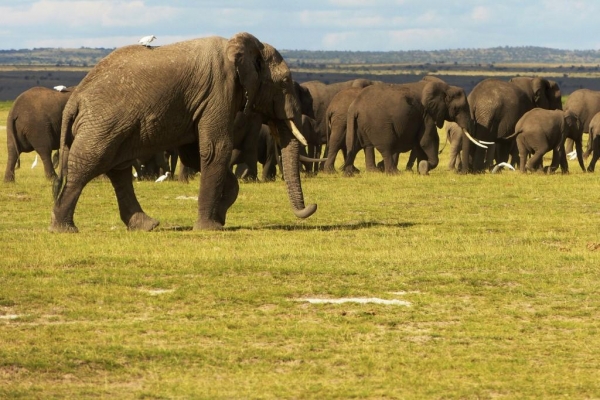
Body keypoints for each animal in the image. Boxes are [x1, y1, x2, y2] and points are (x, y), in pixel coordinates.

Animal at [50, 32, 318, 233]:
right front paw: (210, 228)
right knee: (87, 165)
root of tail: (74, 98)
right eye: (284, 82)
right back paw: (64, 229)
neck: (239, 47)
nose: (313, 205)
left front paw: (220, 215)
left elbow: (195, 154)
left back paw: (147, 225)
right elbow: (215, 149)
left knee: (119, 170)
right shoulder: (219, 90)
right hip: (102, 124)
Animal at [342, 79, 474, 175]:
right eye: (457, 108)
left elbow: (421, 143)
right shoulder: (427, 114)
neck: (446, 88)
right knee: (386, 146)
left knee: (359, 145)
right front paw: (424, 167)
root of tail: (355, 106)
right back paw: (393, 173)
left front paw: (422, 170)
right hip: (377, 123)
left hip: (361, 123)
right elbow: (427, 140)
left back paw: (356, 173)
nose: (463, 173)